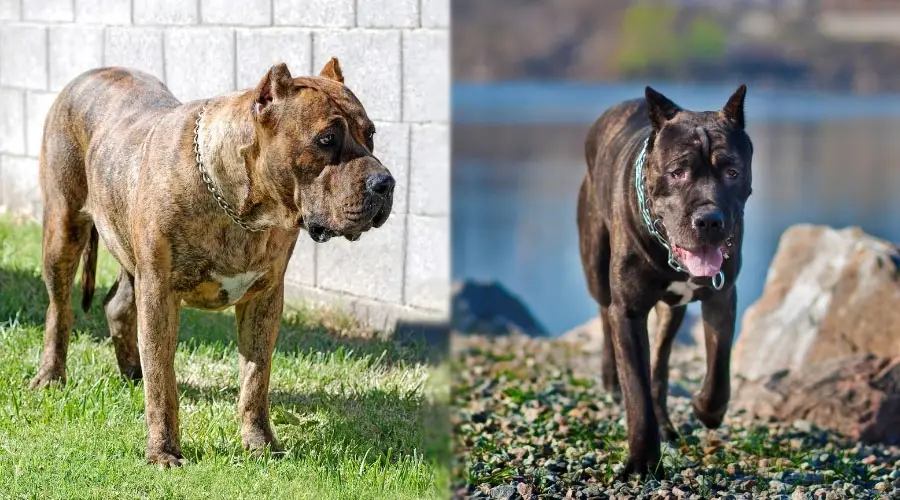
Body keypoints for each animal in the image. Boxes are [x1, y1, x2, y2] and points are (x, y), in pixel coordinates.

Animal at [33, 59, 392, 468]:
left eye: (371, 135)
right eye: (327, 139)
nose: (385, 183)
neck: (243, 210)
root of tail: (93, 71)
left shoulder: (265, 298)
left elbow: (256, 378)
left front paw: (260, 444)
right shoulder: (159, 293)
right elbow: (164, 381)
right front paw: (163, 452)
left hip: (128, 252)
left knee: (117, 306)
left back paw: (132, 373)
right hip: (63, 229)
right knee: (60, 309)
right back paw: (51, 376)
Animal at [580, 85, 748, 476]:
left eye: (732, 171)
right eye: (677, 173)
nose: (709, 220)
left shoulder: (722, 296)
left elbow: (718, 368)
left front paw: (706, 409)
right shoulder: (628, 312)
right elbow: (636, 390)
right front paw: (642, 460)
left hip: (673, 311)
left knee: (659, 364)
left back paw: (669, 425)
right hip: (595, 268)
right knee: (604, 313)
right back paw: (610, 379)